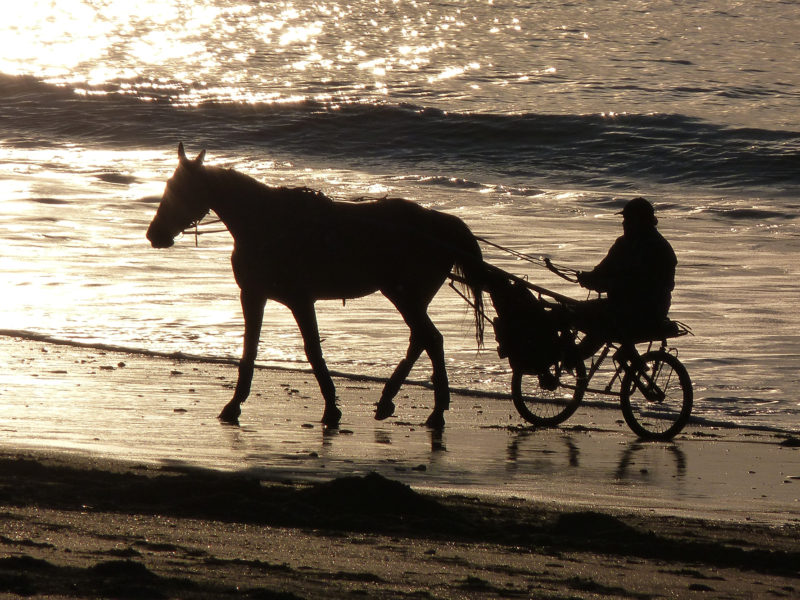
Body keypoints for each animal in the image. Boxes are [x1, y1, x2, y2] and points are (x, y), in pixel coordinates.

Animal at [147, 144, 484, 428]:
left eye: (179, 189)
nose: (154, 234)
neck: (266, 223)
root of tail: (443, 224)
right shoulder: (254, 295)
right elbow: (250, 349)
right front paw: (234, 405)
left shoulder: (299, 299)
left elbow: (312, 350)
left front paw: (331, 408)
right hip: (409, 298)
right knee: (421, 340)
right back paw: (390, 400)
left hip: (405, 296)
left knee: (431, 339)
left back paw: (435, 410)